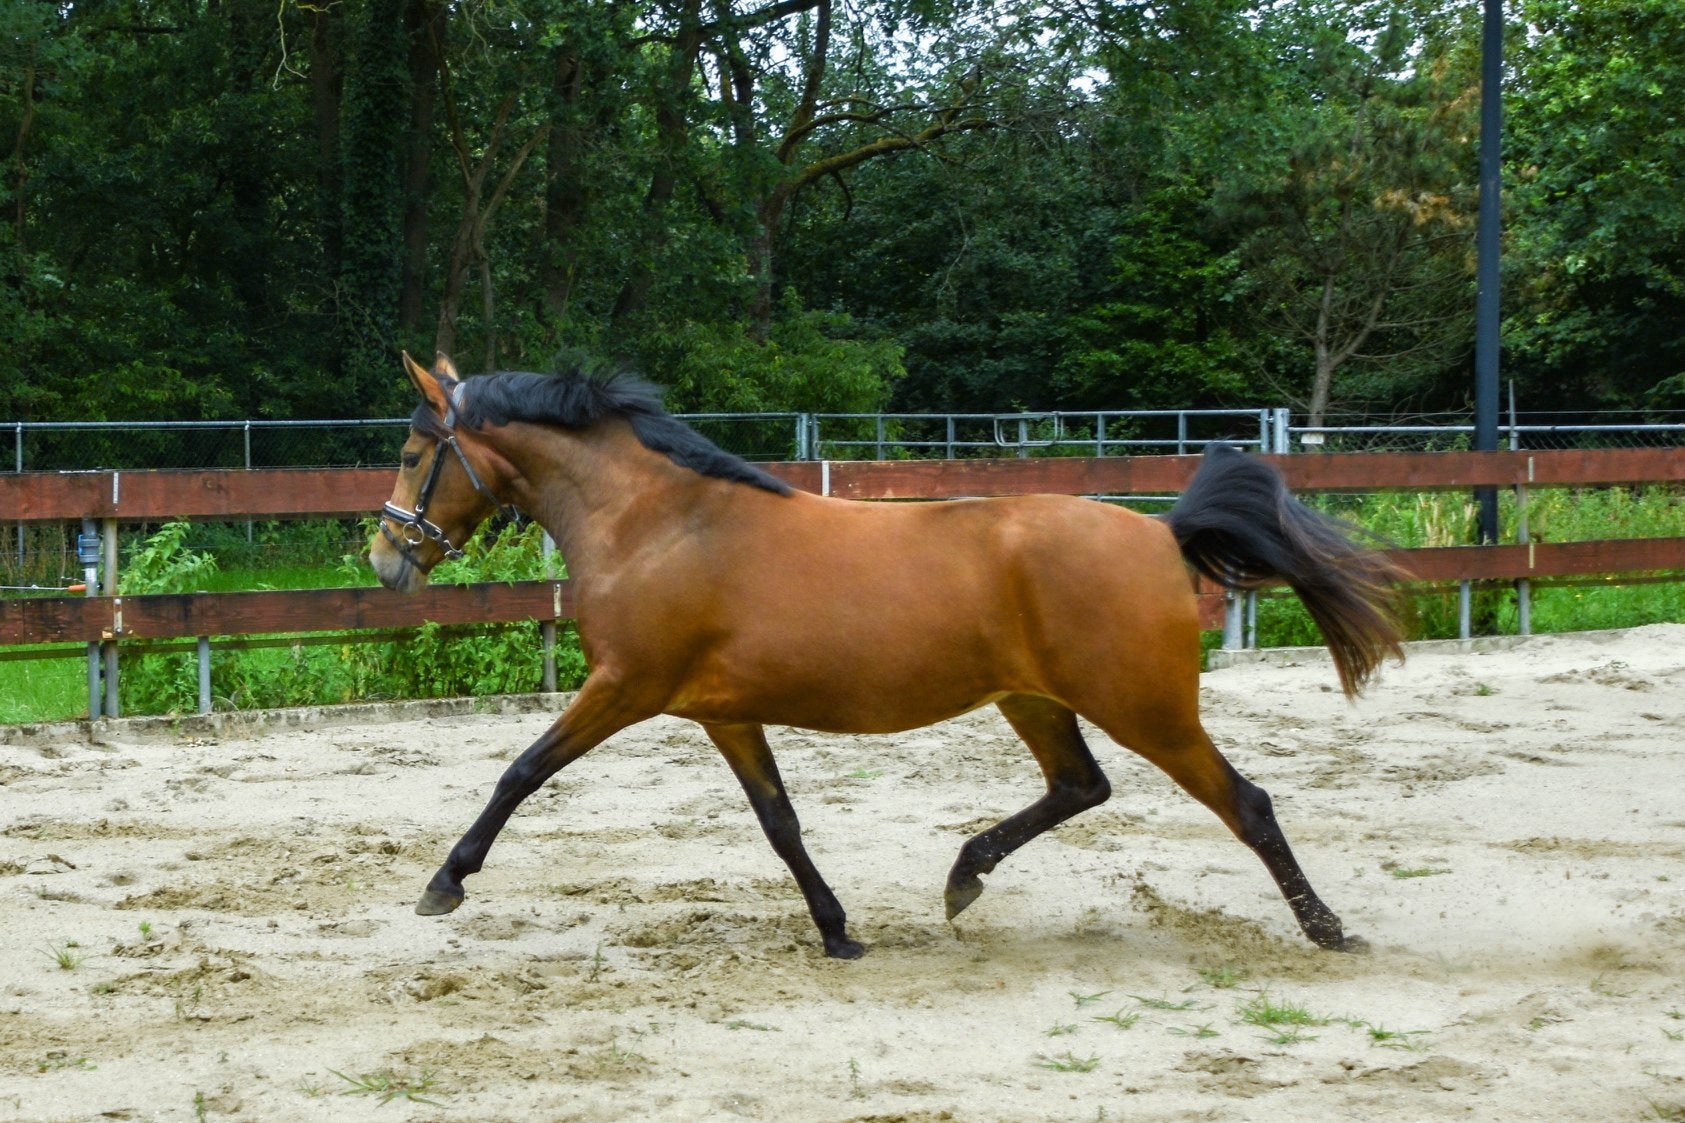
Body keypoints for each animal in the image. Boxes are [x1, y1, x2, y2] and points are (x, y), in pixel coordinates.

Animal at [370, 352, 1405, 959]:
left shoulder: (625, 686)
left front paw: (443, 884)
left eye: (416, 449)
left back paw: (1327, 929)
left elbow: (520, 770)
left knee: (1244, 802)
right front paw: (837, 933)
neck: (656, 522)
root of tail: (1160, 533)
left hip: (1144, 706)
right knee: (1080, 785)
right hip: (1032, 697)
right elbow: (780, 822)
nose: (384, 557)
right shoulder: (723, 712)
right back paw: (962, 876)